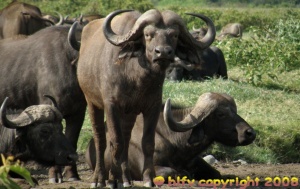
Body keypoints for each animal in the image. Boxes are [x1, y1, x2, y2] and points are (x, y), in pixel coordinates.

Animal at [75, 8, 216, 188]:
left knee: (126, 138)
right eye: (148, 34)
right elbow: (115, 142)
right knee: (101, 139)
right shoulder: (111, 106)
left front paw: (149, 179)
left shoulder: (152, 107)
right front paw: (113, 180)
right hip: (92, 103)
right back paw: (99, 179)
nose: (163, 52)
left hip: (129, 113)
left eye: (175, 35)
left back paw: (126, 179)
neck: (136, 77)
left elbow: (147, 143)